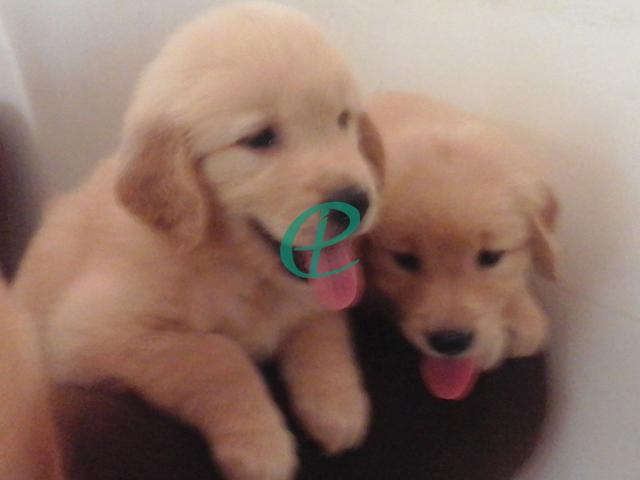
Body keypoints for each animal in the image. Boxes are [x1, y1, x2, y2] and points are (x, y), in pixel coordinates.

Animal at [11, 4, 384, 479]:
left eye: (342, 120)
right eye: (260, 139)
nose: (358, 200)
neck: (232, 265)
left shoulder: (315, 301)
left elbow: (323, 330)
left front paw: (337, 405)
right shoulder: (87, 334)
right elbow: (216, 355)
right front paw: (260, 446)